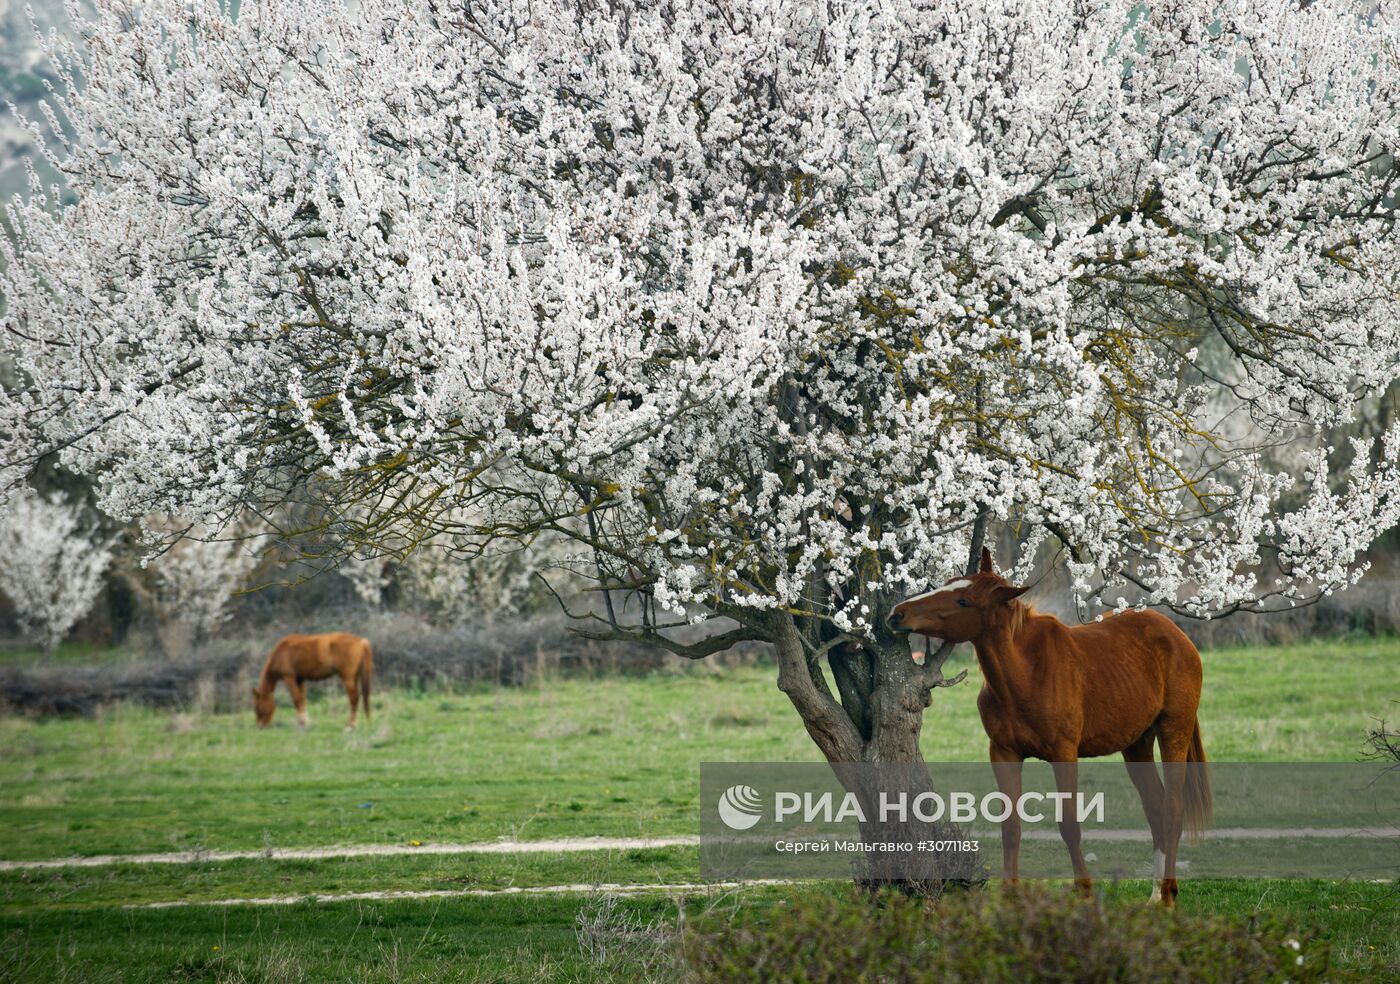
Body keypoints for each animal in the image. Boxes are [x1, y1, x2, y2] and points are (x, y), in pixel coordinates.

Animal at [890, 545, 1209, 907]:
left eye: (963, 601)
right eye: (947, 584)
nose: (897, 614)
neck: (1026, 673)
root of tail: (1177, 635)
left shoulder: (1063, 753)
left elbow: (1069, 825)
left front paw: (1085, 890)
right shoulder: (1003, 754)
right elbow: (1010, 828)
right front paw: (1010, 895)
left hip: (1173, 731)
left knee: (1172, 810)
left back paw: (1167, 894)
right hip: (1137, 743)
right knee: (1155, 807)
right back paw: (1156, 893)